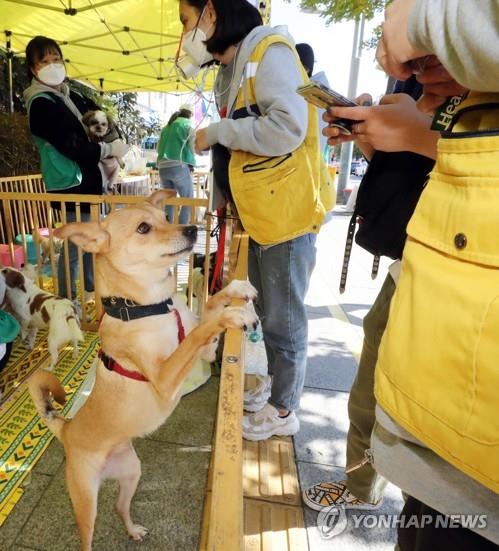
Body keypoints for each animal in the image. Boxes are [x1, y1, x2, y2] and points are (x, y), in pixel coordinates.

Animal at [26, 191, 258, 551]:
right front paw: (232, 315)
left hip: (132, 471)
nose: (192, 229)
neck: (149, 307)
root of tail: (66, 428)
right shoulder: (164, 378)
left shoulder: (203, 349)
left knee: (120, 507)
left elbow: (206, 311)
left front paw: (235, 290)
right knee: (87, 536)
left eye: (165, 217)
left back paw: (133, 530)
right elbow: (198, 332)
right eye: (144, 228)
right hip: (85, 501)